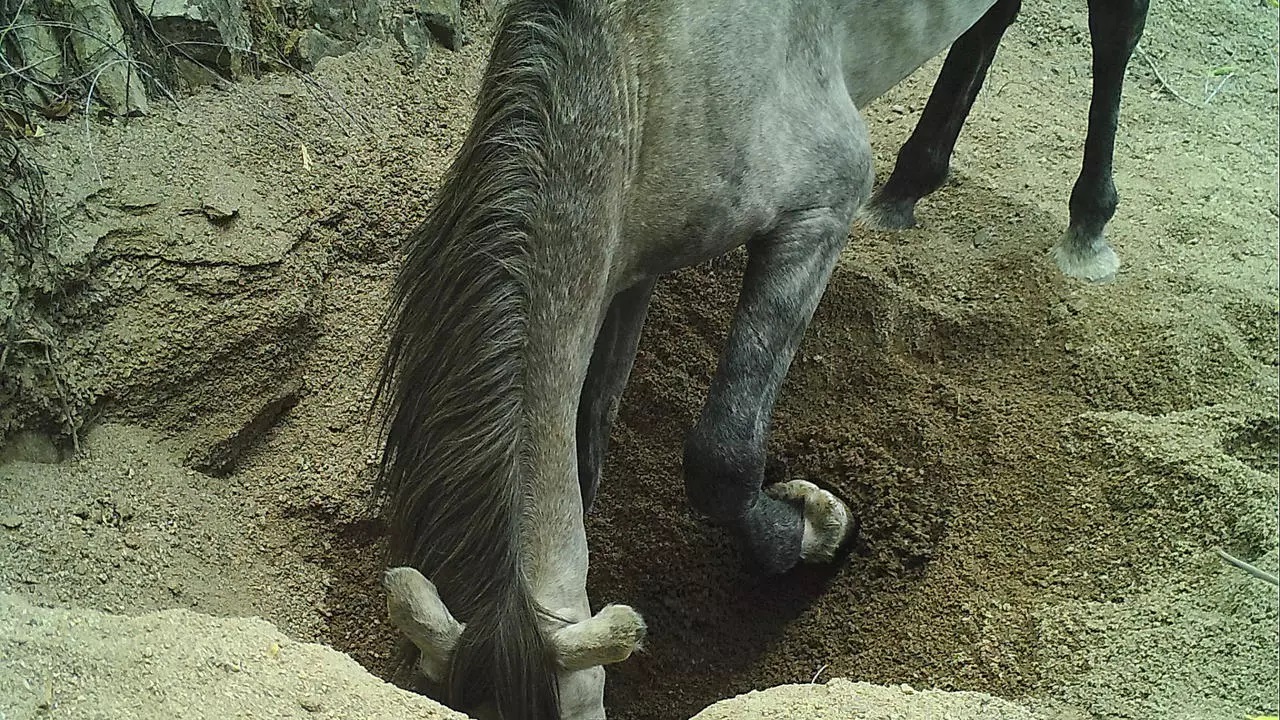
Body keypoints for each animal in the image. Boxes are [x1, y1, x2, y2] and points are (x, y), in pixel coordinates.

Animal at [376, 1, 1141, 717]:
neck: (648, 69)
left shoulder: (820, 210)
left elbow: (721, 457)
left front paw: (817, 527)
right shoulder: (627, 264)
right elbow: (589, 436)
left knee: (1115, 33)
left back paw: (1089, 224)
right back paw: (910, 185)